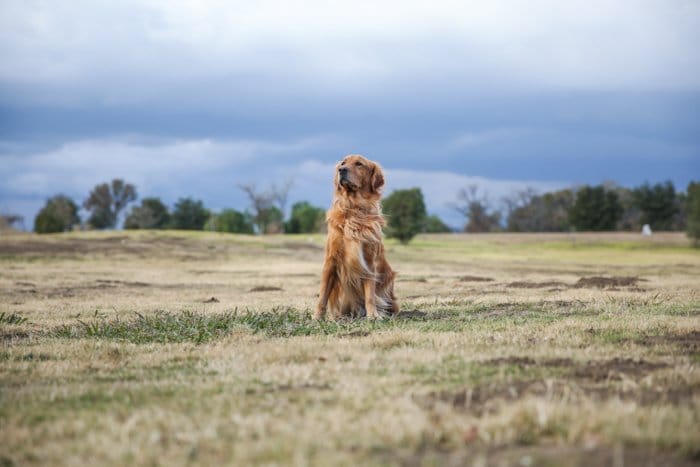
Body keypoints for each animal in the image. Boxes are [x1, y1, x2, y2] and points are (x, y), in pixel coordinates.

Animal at [314, 155, 396, 320]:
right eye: (343, 163)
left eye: (359, 164)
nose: (342, 170)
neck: (353, 208)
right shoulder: (331, 259)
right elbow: (323, 294)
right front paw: (317, 317)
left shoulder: (369, 261)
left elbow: (370, 294)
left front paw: (373, 315)